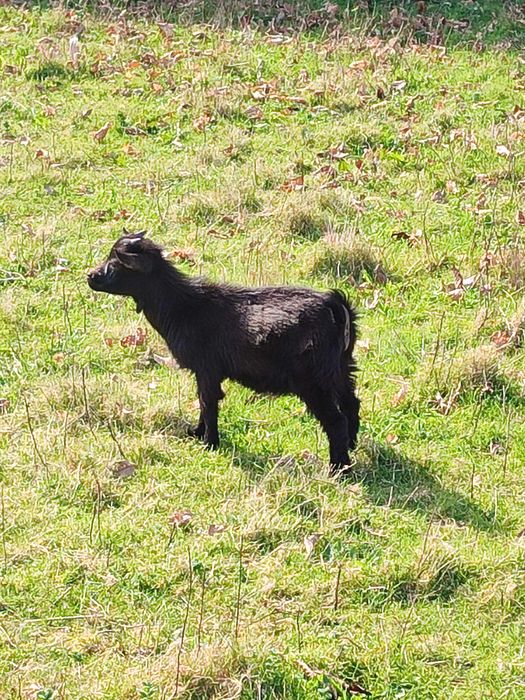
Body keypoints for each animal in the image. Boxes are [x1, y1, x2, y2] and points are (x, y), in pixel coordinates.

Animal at [87, 231, 360, 472]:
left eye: (115, 263)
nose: (90, 275)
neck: (183, 306)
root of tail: (335, 305)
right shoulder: (205, 372)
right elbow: (202, 400)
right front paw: (197, 433)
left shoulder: (207, 368)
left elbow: (208, 402)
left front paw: (209, 442)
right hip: (341, 368)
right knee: (351, 403)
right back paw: (351, 447)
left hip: (313, 380)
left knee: (336, 421)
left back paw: (337, 468)